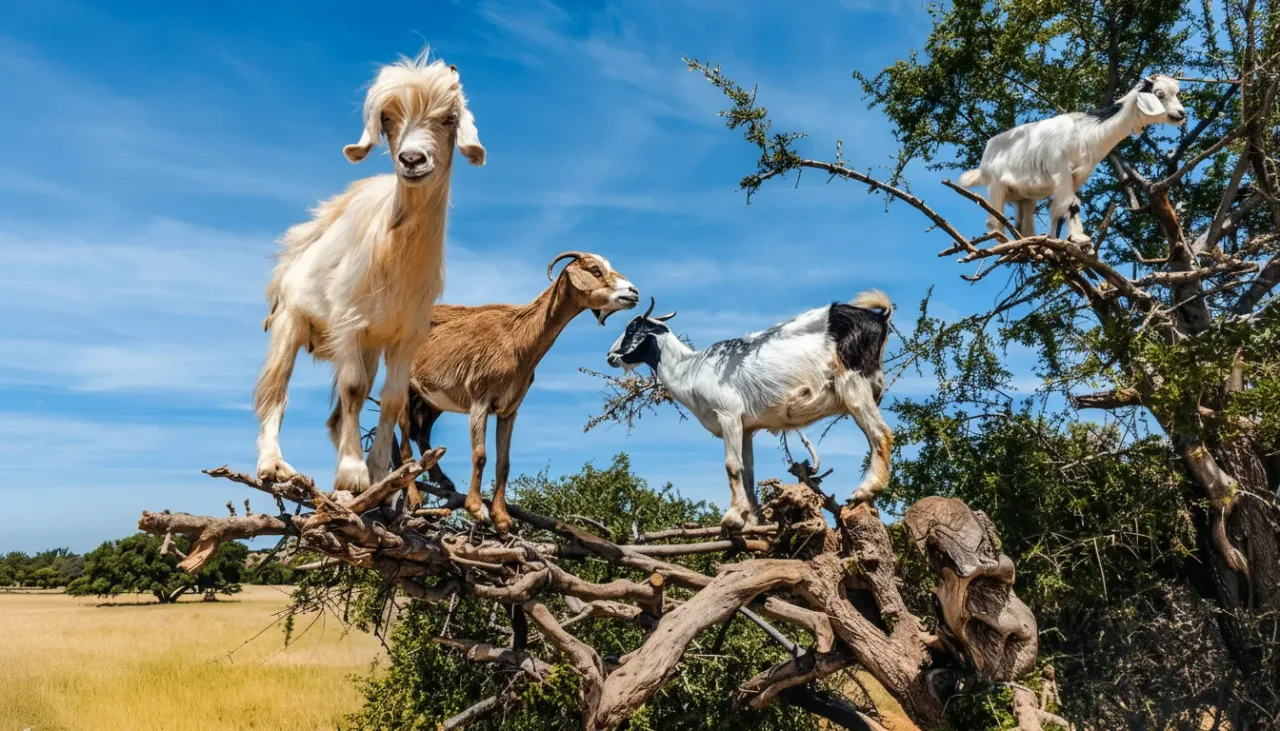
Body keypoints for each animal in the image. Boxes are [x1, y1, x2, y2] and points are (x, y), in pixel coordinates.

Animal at [254, 52, 485, 493]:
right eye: (387, 118)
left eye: (449, 118)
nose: (412, 160)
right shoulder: (349, 324)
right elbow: (354, 388)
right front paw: (351, 473)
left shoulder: (405, 336)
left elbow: (392, 399)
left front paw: (378, 473)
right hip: (290, 322)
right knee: (274, 391)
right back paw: (273, 466)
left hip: (370, 346)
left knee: (334, 414)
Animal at [396, 252, 639, 533]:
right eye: (594, 269)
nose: (633, 293)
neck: (517, 337)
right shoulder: (480, 400)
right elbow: (480, 455)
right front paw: (476, 508)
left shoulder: (510, 409)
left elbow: (504, 463)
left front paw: (501, 518)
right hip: (403, 388)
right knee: (404, 441)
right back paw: (414, 499)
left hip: (430, 400)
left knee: (421, 434)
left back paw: (443, 481)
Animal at [605, 291, 894, 530]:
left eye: (631, 329)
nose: (610, 357)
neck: (690, 368)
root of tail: (879, 318)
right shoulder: (746, 427)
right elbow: (747, 471)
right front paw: (753, 518)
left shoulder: (728, 415)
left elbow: (732, 466)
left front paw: (732, 518)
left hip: (854, 385)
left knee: (881, 434)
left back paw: (864, 491)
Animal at [958, 75, 1186, 244]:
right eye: (1159, 94)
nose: (1181, 113)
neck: (1085, 132)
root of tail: (984, 162)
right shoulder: (1059, 168)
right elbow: (1071, 204)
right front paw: (1080, 239)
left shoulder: (1078, 176)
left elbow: (1058, 209)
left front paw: (1058, 239)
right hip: (996, 185)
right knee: (994, 221)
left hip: (1025, 197)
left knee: (1024, 221)